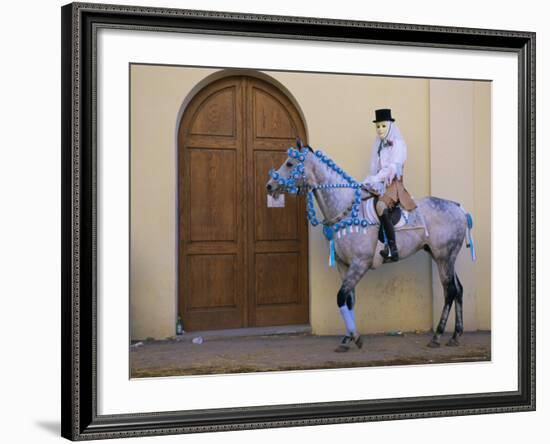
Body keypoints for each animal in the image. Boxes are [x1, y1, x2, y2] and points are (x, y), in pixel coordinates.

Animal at [266, 142, 476, 350]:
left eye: (290, 163)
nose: (269, 185)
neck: (347, 210)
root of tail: (458, 208)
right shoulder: (344, 265)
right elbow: (349, 299)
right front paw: (347, 338)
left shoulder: (360, 264)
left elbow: (341, 297)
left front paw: (356, 337)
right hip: (443, 257)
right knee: (458, 289)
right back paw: (455, 336)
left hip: (443, 257)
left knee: (450, 291)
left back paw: (437, 336)